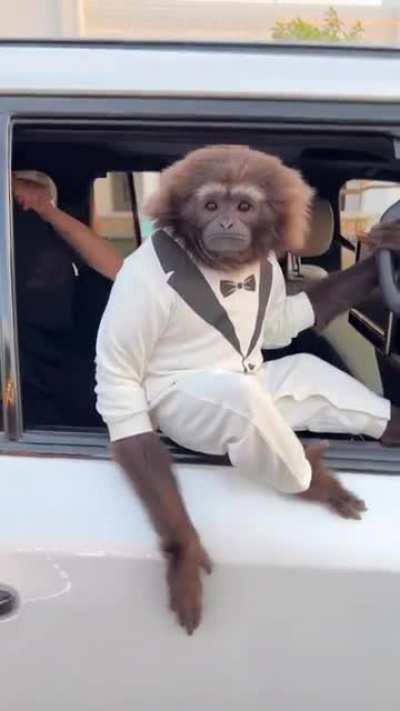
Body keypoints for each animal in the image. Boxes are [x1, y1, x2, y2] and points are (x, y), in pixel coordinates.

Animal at [95, 144, 400, 635]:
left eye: (243, 206)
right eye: (210, 205)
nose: (225, 223)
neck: (222, 270)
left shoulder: (269, 277)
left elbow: (283, 319)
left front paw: (385, 253)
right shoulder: (141, 282)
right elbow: (120, 382)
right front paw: (184, 553)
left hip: (267, 380)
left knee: (306, 375)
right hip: (179, 411)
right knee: (246, 407)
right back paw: (312, 482)